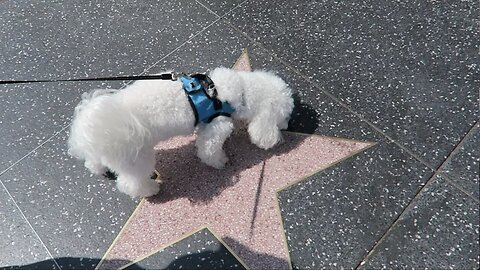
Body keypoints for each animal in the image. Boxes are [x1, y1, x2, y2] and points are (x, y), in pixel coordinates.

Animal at [67, 67, 292, 198]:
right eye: (285, 116)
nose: (286, 127)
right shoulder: (215, 126)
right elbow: (209, 151)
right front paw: (220, 162)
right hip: (137, 157)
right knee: (130, 183)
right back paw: (150, 190)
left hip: (107, 153)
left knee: (94, 162)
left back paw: (98, 168)